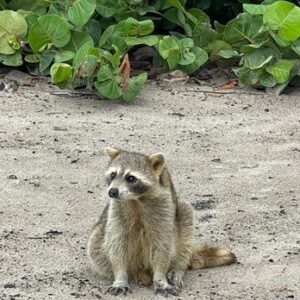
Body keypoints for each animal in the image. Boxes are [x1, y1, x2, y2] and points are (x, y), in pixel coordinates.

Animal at [85, 148, 236, 296]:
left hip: (180, 214)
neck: (136, 199)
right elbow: (117, 243)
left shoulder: (164, 210)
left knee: (185, 224)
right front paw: (120, 277)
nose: (112, 192)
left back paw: (177, 269)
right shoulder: (116, 211)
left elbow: (162, 245)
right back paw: (137, 274)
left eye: (131, 178)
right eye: (113, 174)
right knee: (97, 245)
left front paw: (160, 279)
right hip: (100, 234)